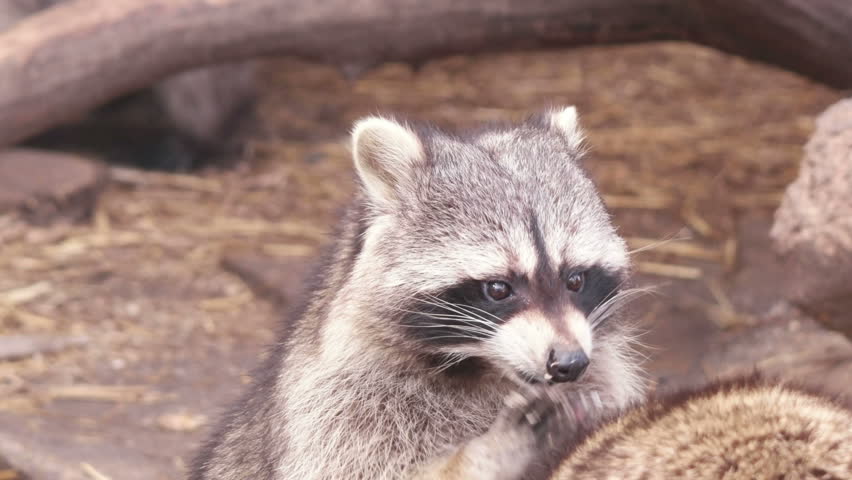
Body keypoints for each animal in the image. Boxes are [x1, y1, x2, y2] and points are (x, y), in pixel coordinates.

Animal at [191, 108, 644, 480]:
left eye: (575, 280)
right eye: (498, 288)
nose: (569, 363)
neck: (485, 368)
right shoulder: (338, 406)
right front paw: (483, 456)